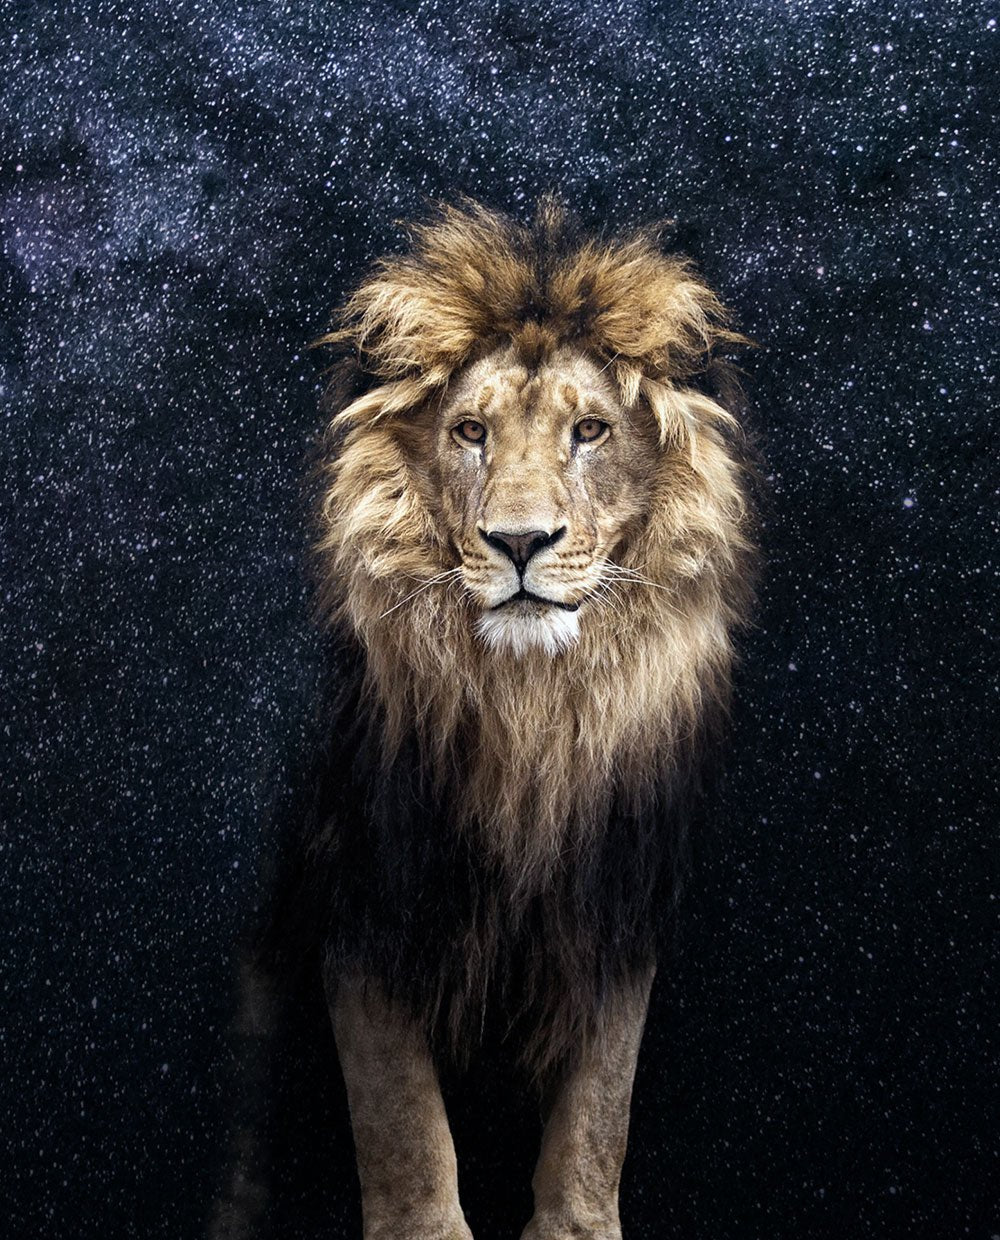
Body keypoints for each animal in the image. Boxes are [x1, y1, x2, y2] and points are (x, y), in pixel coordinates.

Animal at [215, 197, 758, 1240]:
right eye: (470, 430)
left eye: (590, 430)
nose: (518, 542)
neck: (529, 709)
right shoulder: (367, 894)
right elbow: (403, 1126)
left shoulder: (614, 904)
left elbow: (597, 1117)